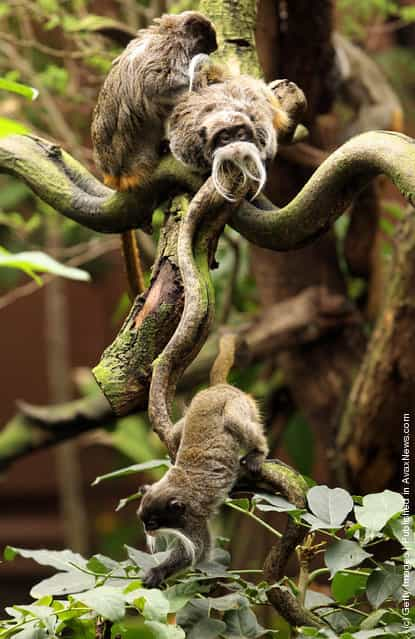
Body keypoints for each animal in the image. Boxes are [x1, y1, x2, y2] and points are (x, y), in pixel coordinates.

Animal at [139, 336, 270, 592]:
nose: (148, 530)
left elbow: (198, 551)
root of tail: (219, 388)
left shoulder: (193, 517)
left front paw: (158, 572)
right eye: (144, 521)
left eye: (153, 522)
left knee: (233, 419)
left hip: (240, 403)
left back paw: (259, 451)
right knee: (177, 433)